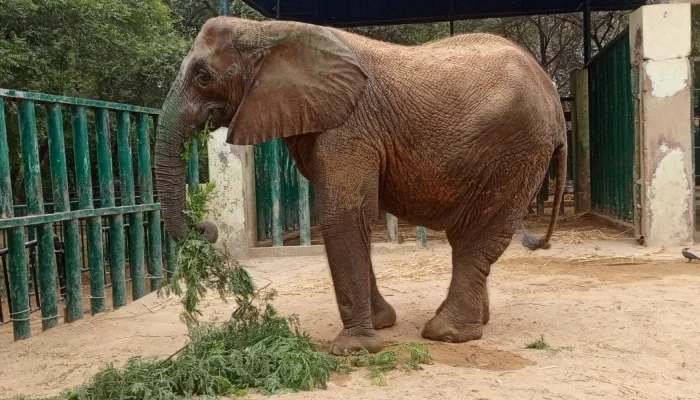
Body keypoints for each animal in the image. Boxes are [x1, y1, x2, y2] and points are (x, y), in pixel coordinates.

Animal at [154, 16, 567, 356]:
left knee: (475, 238)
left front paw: (353, 350)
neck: (265, 31)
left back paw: (446, 334)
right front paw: (382, 323)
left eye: (203, 76)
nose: (205, 228)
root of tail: (553, 97)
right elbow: (355, 219)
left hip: (516, 150)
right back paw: (475, 322)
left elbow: (343, 216)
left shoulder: (350, 127)